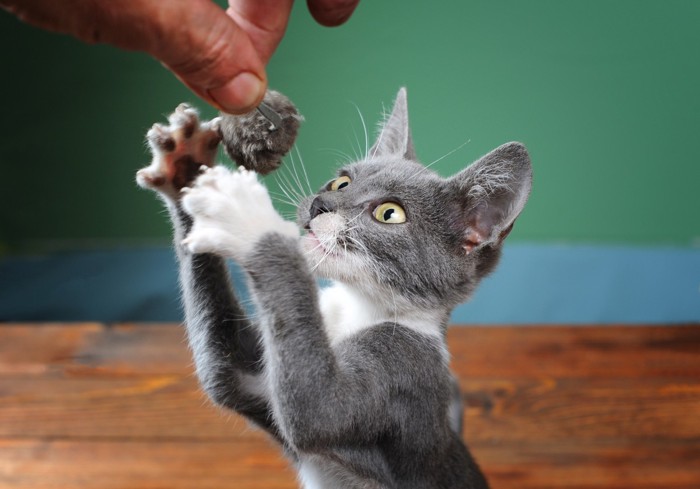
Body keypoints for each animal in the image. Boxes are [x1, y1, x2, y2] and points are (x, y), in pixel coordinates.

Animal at [135, 88, 532, 488]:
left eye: (390, 213)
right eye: (342, 182)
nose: (319, 203)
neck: (356, 305)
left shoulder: (403, 366)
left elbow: (318, 411)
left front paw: (247, 213)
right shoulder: (252, 380)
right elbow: (227, 373)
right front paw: (186, 166)